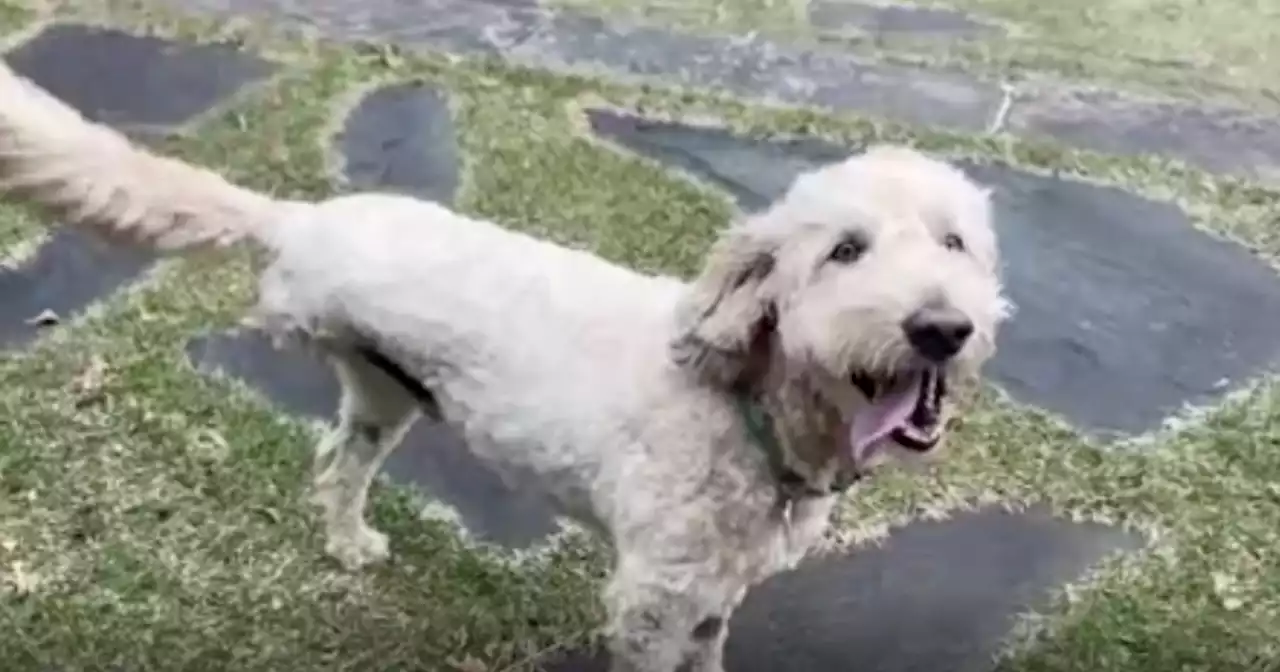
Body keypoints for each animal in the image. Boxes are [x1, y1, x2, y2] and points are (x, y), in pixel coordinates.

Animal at [0, 62, 1008, 670]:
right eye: (844, 252)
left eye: (955, 242)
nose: (941, 328)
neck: (750, 410)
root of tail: (306, 219)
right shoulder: (653, 595)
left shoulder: (714, 593)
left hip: (382, 394)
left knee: (337, 464)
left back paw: (348, 543)